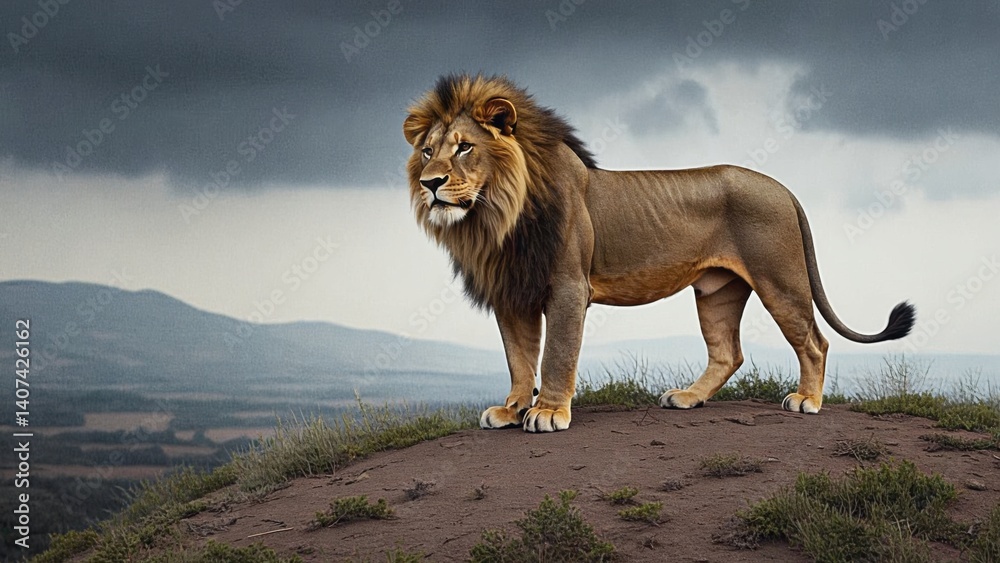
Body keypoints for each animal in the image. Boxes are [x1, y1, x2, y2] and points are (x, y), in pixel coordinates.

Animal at [403, 74, 915, 433]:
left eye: (465, 148)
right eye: (427, 151)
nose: (431, 184)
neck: (496, 217)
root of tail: (784, 188)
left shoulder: (567, 286)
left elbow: (556, 355)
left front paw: (547, 413)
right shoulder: (512, 291)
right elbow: (519, 357)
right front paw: (511, 409)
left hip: (780, 279)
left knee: (813, 342)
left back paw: (807, 401)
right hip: (717, 291)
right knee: (728, 353)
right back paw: (688, 398)